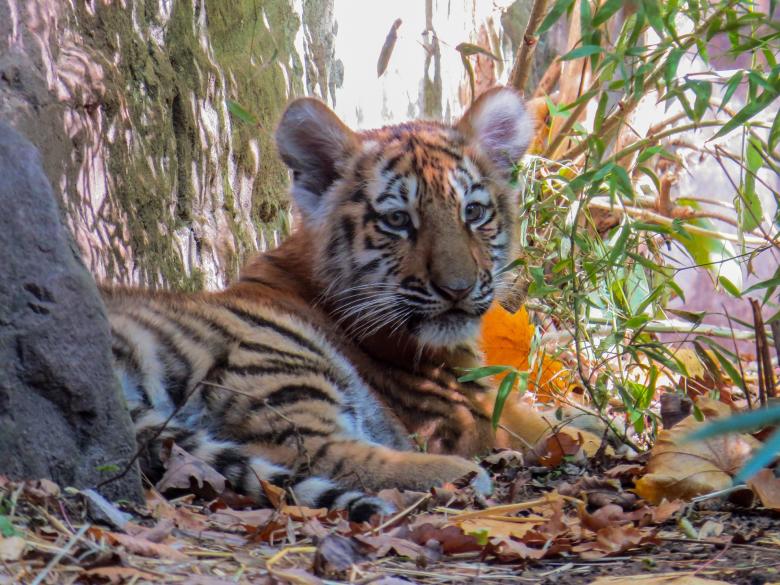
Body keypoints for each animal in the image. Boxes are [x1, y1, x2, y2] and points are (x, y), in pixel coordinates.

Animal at [102, 87, 535, 521]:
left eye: (473, 212)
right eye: (397, 220)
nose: (457, 289)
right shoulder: (473, 413)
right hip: (277, 357)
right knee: (312, 454)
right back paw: (459, 476)